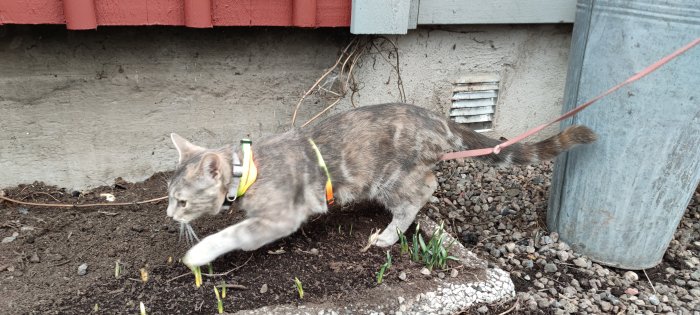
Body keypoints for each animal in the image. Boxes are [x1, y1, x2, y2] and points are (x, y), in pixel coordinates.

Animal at [167, 103, 592, 266]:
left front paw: (198, 253)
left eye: (182, 202)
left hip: (392, 176)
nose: (170, 215)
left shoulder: (281, 216)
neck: (249, 168)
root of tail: (436, 118)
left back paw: (388, 235)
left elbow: (235, 233)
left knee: (424, 188)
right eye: (169, 198)